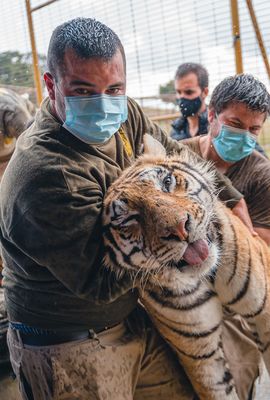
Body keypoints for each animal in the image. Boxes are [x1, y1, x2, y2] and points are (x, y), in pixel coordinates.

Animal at [101, 135, 270, 400]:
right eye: (129, 219)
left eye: (167, 182)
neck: (207, 274)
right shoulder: (200, 355)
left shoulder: (265, 314)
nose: (180, 228)